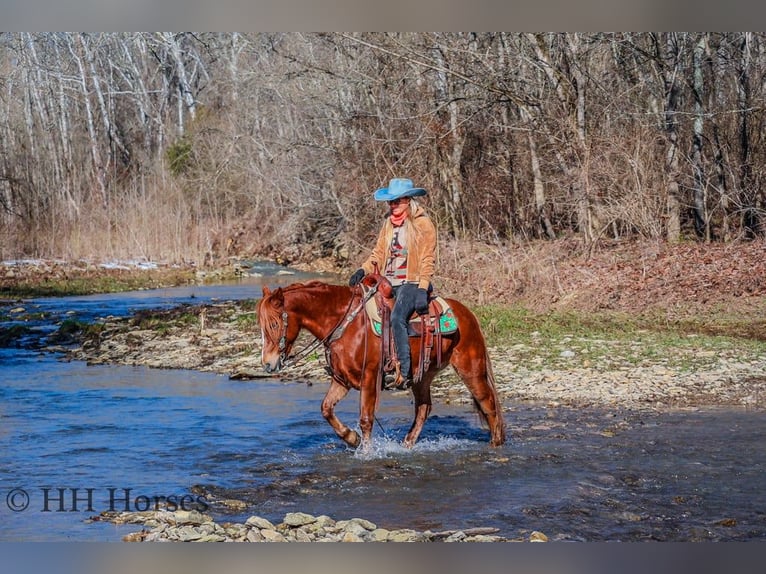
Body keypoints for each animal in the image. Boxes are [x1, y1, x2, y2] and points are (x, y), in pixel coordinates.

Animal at [258, 282, 508, 452]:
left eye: (274, 324)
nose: (268, 363)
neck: (347, 325)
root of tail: (467, 313)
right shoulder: (342, 380)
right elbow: (326, 408)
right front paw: (352, 439)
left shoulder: (369, 378)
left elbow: (366, 419)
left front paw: (367, 452)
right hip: (422, 376)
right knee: (424, 408)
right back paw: (406, 444)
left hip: (470, 368)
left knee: (488, 403)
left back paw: (496, 443)